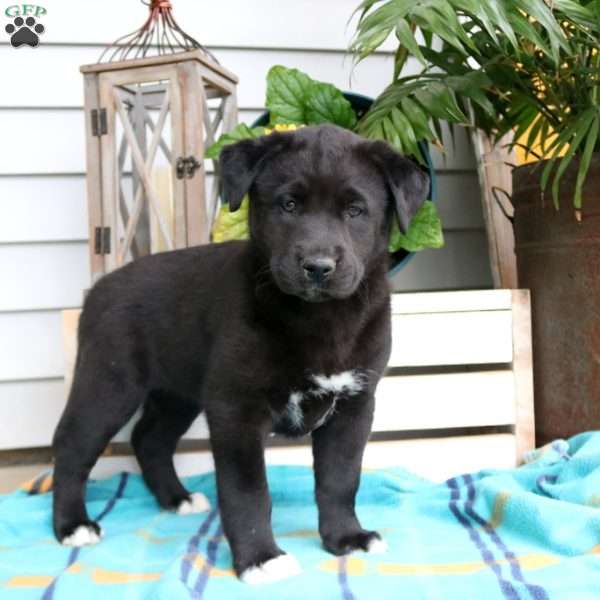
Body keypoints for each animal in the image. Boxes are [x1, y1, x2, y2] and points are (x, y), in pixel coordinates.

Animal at [50, 123, 426, 584]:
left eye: (356, 211)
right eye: (288, 204)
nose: (318, 266)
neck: (318, 317)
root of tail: (98, 288)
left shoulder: (354, 404)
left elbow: (340, 479)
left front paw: (345, 538)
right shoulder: (236, 409)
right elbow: (248, 491)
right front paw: (260, 557)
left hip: (178, 392)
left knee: (149, 438)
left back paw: (176, 500)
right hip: (109, 383)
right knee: (73, 445)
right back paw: (72, 526)